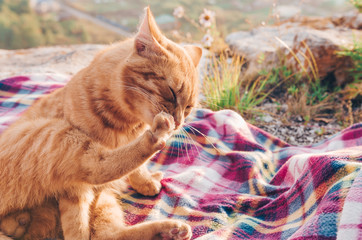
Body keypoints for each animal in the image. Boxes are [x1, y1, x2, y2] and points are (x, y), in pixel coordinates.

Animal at [0, 7, 201, 240]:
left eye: (189, 107)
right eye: (171, 92)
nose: (178, 122)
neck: (130, 125)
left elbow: (138, 170)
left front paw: (145, 182)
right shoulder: (74, 188)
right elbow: (77, 226)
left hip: (103, 200)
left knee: (110, 234)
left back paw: (171, 230)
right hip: (54, 135)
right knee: (99, 166)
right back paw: (157, 135)